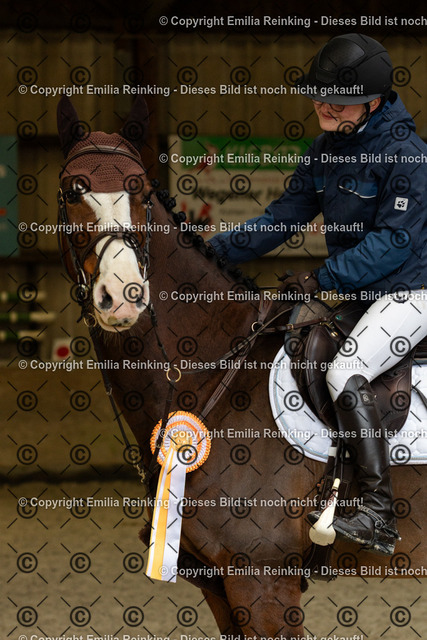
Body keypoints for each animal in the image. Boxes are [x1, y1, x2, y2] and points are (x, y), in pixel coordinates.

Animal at [57, 95, 427, 640]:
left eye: (139, 190)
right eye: (72, 191)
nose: (122, 295)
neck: (214, 373)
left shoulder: (262, 582)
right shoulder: (219, 586)